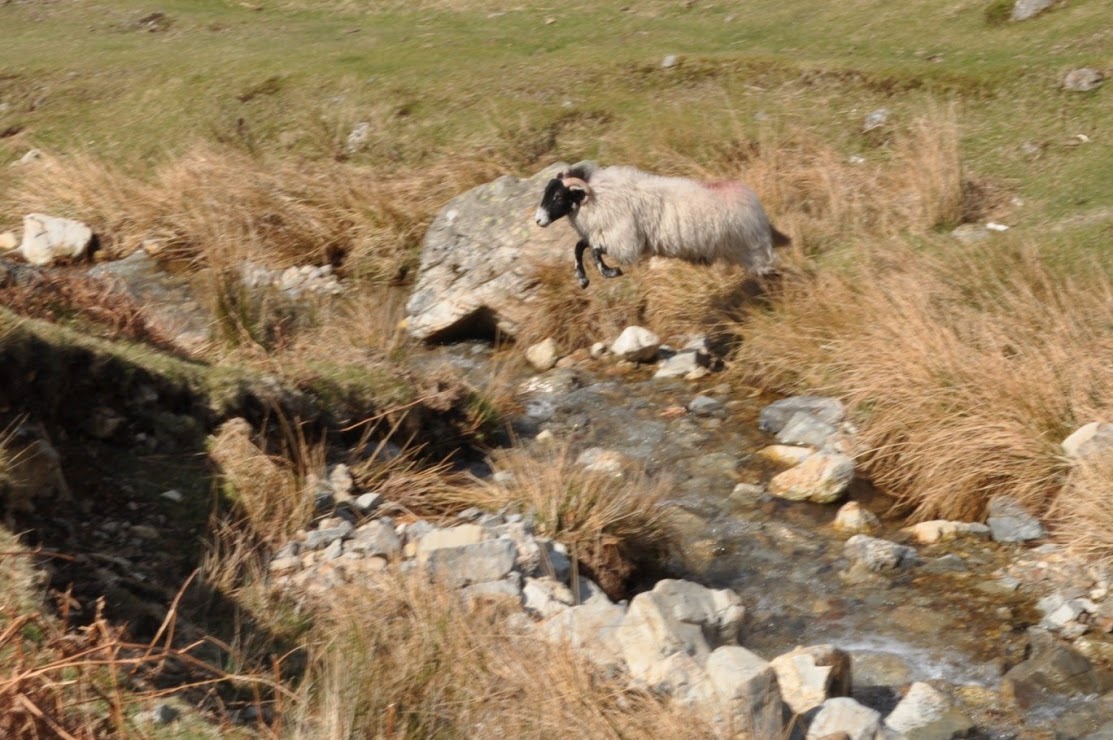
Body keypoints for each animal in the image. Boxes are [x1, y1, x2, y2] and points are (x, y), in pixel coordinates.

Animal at [532, 163, 788, 287]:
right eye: (546, 192)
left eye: (558, 196)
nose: (538, 220)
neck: (598, 195)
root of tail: (754, 203)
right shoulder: (602, 233)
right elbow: (579, 248)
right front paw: (582, 279)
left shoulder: (624, 240)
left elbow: (593, 252)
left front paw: (610, 272)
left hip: (753, 250)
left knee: (772, 271)